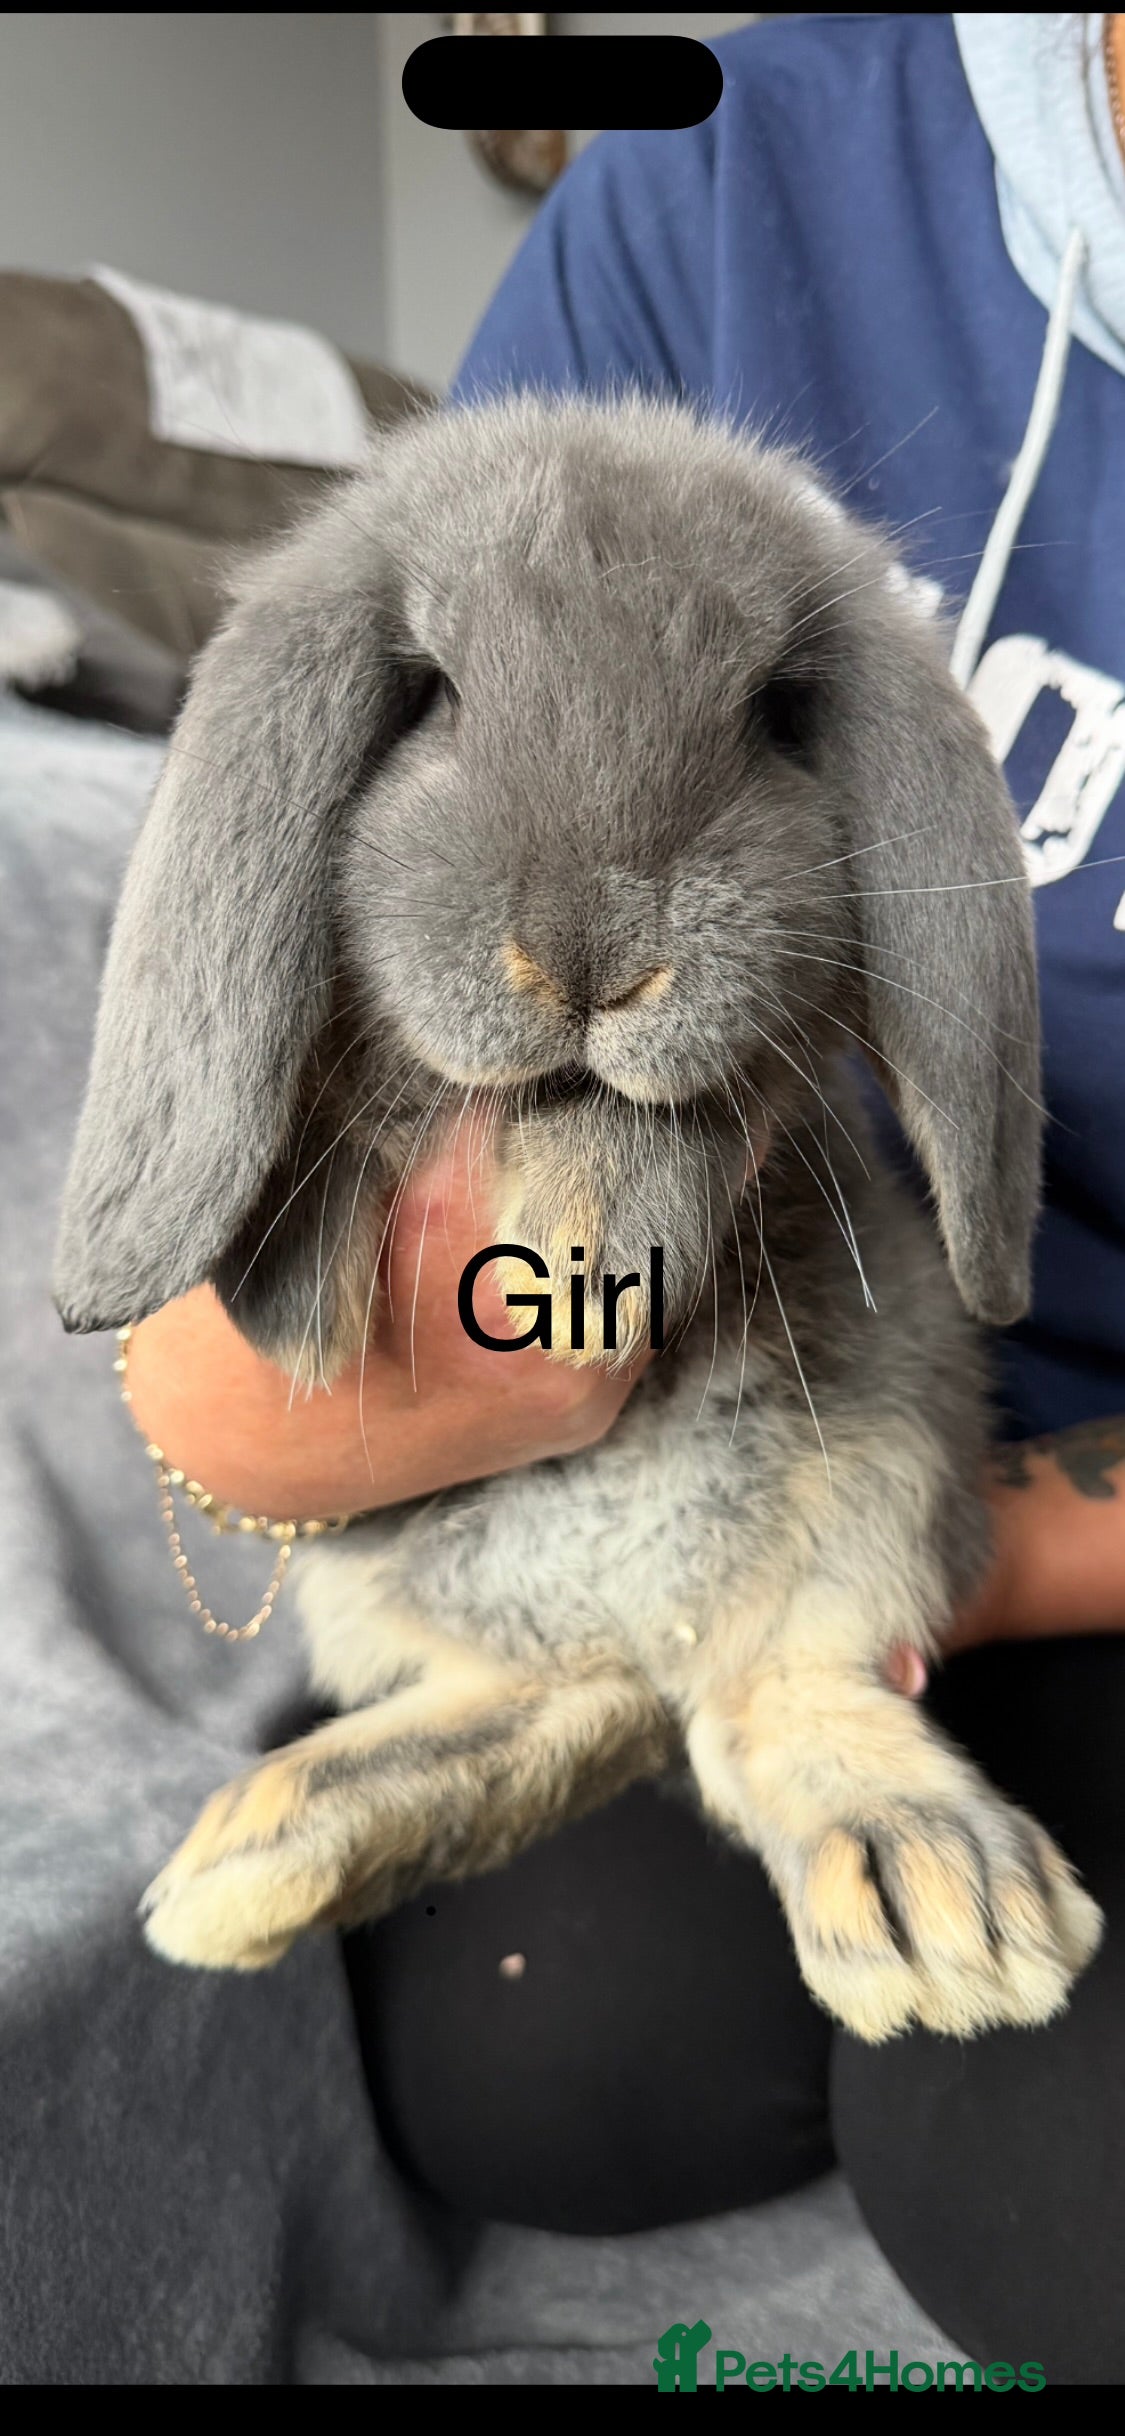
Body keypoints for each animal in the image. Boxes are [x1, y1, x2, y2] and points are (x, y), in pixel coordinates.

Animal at [54, 393, 1103, 2041]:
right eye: (426, 693)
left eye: (775, 714)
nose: (589, 955)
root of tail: (632, 1606)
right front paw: (313, 1276)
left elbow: (692, 1107)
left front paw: (589, 1236)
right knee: (583, 1702)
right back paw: (260, 1853)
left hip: (877, 1469)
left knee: (761, 1702)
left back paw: (936, 1899)